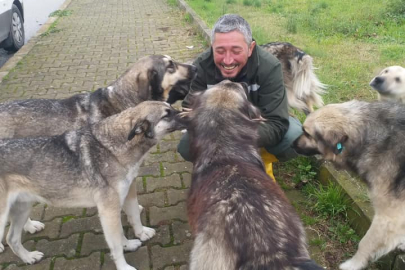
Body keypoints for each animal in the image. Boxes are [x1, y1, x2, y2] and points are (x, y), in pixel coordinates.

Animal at [0, 101, 183, 270]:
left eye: (171, 108)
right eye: (166, 115)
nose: (186, 115)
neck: (113, 147)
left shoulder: (118, 203)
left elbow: (121, 232)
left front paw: (128, 244)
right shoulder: (108, 211)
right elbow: (116, 245)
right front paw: (123, 266)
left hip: (23, 206)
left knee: (12, 238)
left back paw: (29, 253)